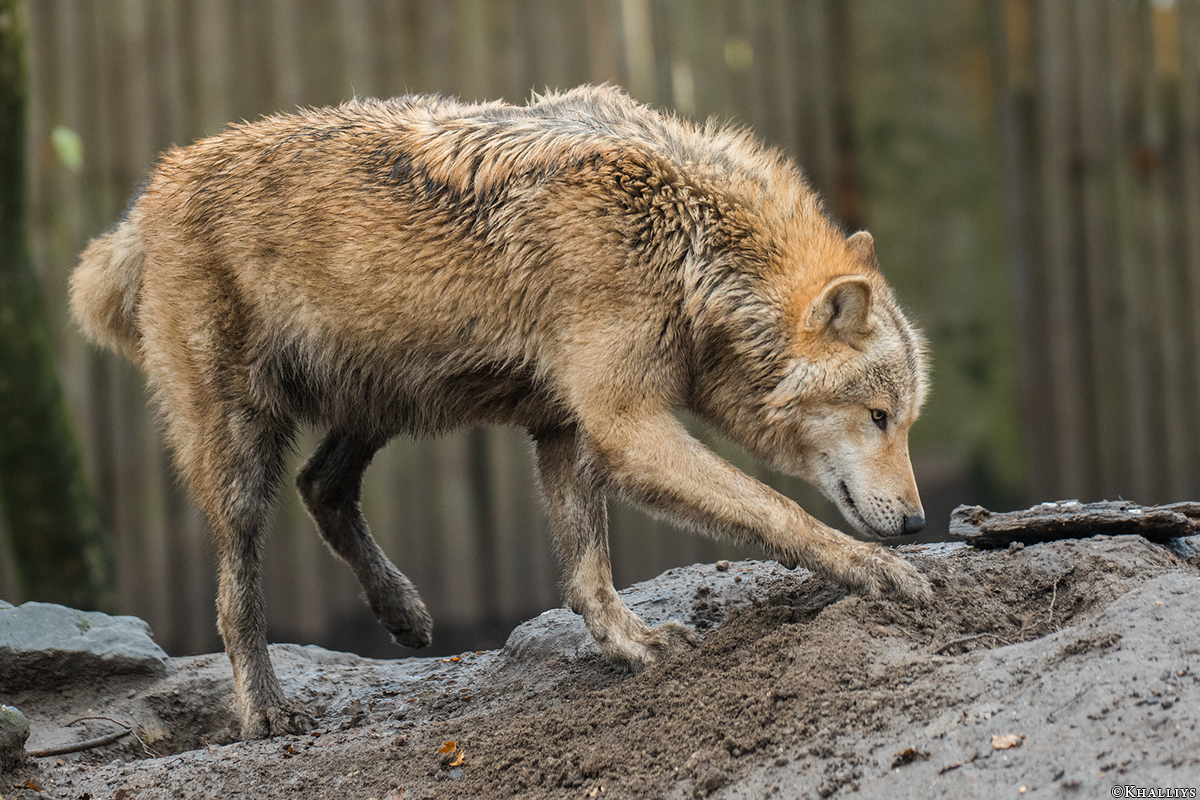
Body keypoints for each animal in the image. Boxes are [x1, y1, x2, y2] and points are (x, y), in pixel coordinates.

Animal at [70, 85, 930, 739]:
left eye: (906, 420)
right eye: (879, 417)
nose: (921, 522)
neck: (690, 247)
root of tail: (150, 195)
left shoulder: (568, 426)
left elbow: (587, 574)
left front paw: (630, 643)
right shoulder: (623, 424)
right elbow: (780, 512)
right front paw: (880, 571)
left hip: (387, 397)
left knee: (323, 486)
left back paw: (404, 613)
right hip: (248, 447)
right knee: (234, 596)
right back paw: (266, 711)